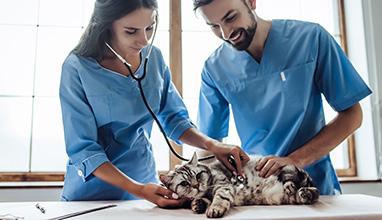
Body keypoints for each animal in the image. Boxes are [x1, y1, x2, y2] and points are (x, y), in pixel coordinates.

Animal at [159, 153, 320, 218]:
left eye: (198, 175)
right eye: (184, 183)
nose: (196, 185)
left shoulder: (223, 186)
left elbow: (219, 199)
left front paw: (215, 209)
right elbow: (202, 200)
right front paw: (197, 204)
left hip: (289, 170)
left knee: (307, 185)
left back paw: (292, 185)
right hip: (285, 197)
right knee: (309, 194)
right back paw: (304, 193)